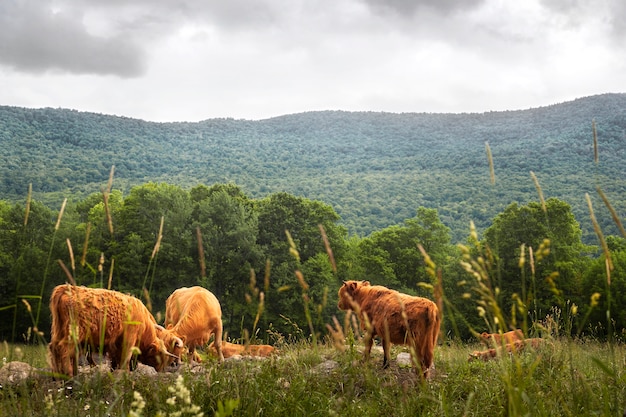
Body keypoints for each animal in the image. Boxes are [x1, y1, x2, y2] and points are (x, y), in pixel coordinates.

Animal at [46, 282, 183, 376]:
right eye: (160, 357)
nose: (161, 371)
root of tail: (66, 288)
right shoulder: (129, 338)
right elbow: (125, 359)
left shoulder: (114, 345)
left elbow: (115, 362)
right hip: (75, 331)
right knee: (64, 349)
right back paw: (68, 374)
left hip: (59, 329)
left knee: (55, 348)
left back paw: (58, 375)